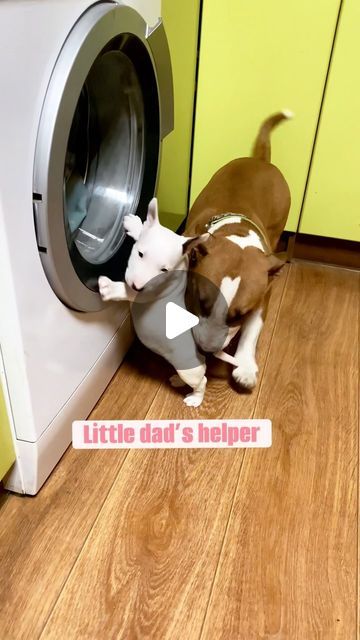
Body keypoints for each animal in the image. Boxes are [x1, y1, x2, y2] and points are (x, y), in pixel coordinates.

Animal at [183, 112, 292, 388]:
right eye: (201, 301)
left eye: (238, 316)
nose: (207, 349)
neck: (237, 232)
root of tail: (260, 161)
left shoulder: (263, 293)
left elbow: (252, 330)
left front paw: (245, 366)